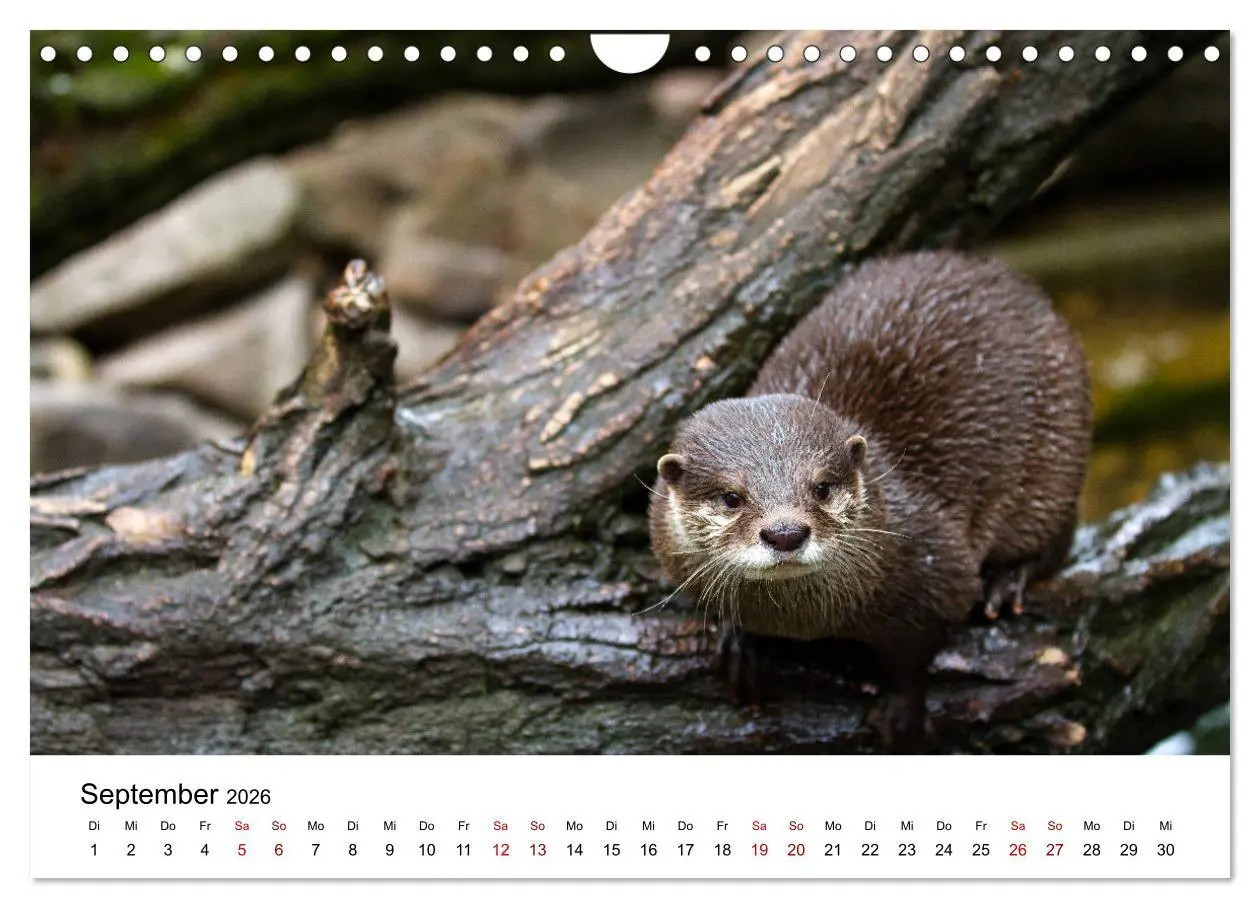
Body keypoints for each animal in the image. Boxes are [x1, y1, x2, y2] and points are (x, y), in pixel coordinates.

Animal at [648, 250, 1092, 752]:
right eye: (730, 497)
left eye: (822, 487)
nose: (786, 532)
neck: (802, 619)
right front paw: (745, 646)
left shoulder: (937, 568)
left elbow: (914, 655)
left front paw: (901, 713)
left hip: (1054, 456)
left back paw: (1006, 581)